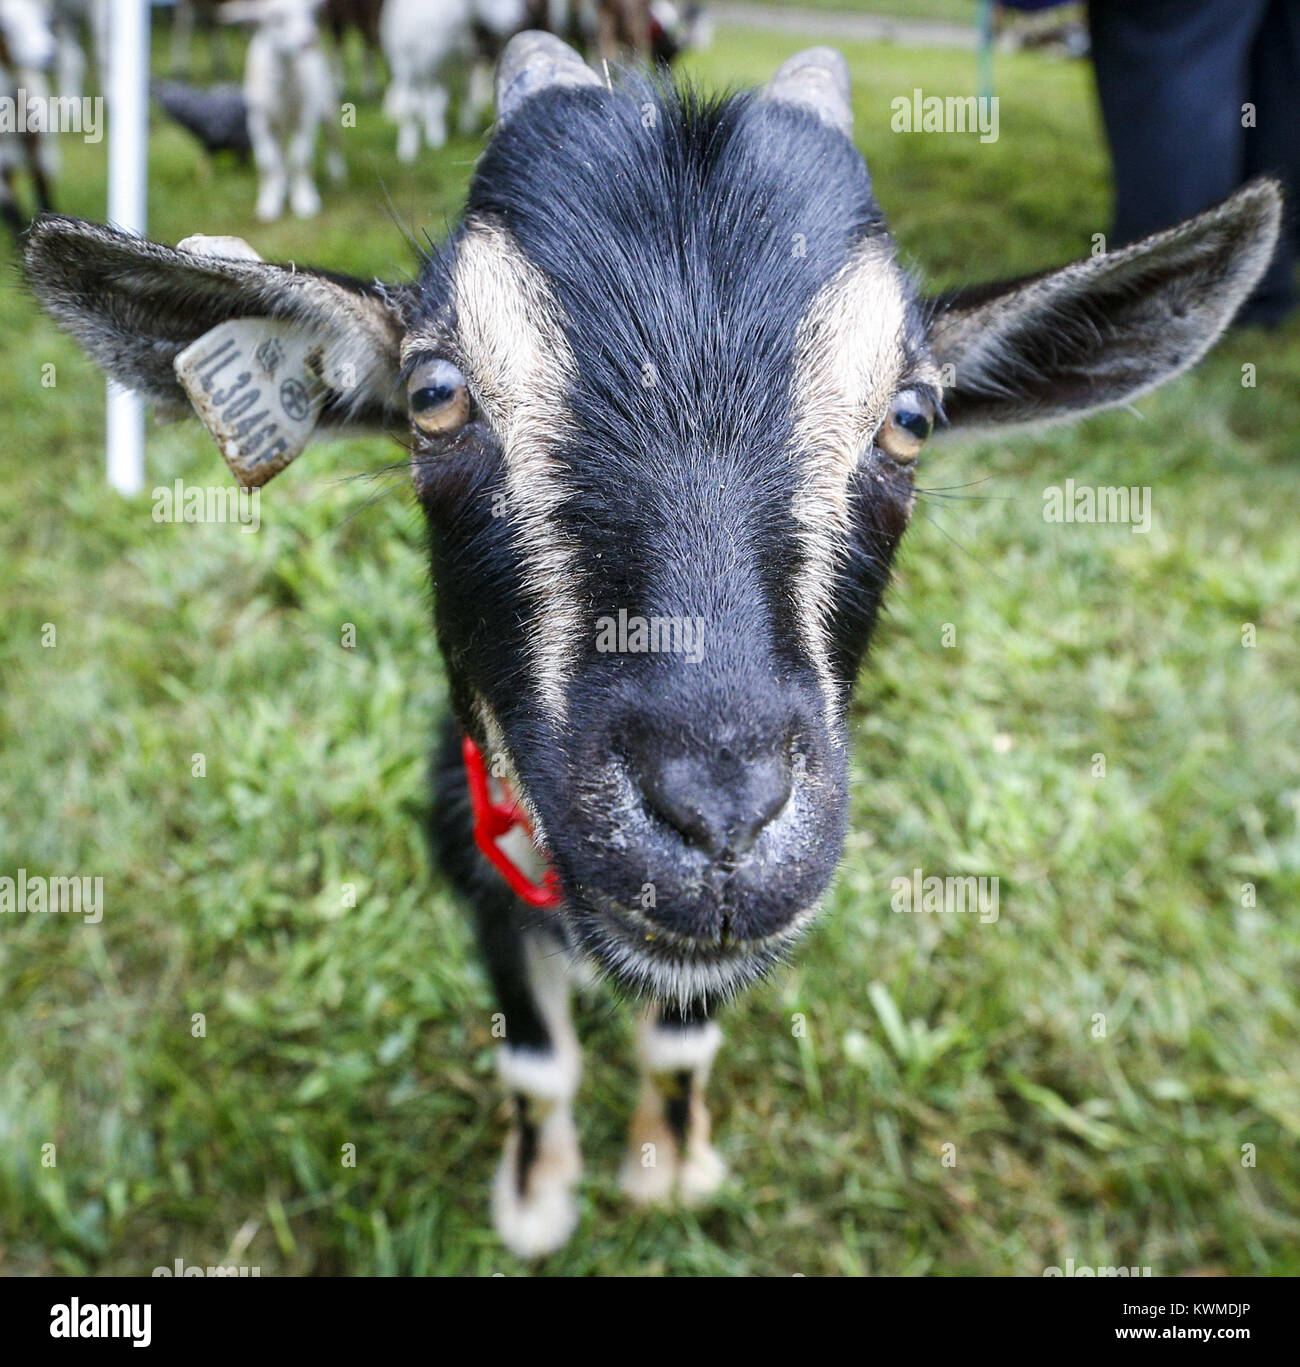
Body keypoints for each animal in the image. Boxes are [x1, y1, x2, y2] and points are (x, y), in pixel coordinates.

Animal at [24, 35, 1281, 1258]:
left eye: (912, 416)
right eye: (434, 395)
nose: (720, 817)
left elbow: (677, 1047)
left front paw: (668, 1164)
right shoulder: (480, 857)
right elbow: (537, 1058)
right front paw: (537, 1195)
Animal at [222, 0, 344, 221]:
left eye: (310, 14)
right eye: (276, 19)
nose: (309, 41)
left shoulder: (305, 117)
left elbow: (300, 158)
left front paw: (305, 200)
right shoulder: (258, 122)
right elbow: (268, 161)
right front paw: (269, 202)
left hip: (327, 101)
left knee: (333, 138)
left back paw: (337, 173)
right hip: (277, 124)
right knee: (280, 153)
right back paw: (283, 184)